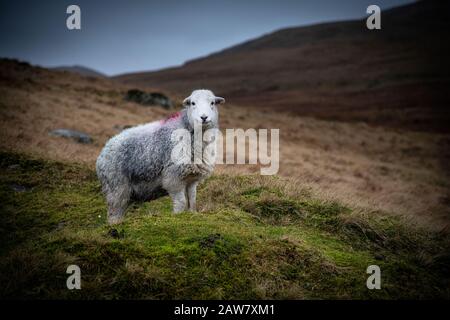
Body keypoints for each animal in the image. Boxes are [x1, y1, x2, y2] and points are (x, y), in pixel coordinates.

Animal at [95, 89, 225, 225]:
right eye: (193, 103)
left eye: (212, 103)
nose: (204, 117)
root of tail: (103, 152)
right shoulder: (173, 177)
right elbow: (181, 202)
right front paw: (178, 216)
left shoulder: (191, 179)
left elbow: (192, 200)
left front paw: (192, 214)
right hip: (116, 186)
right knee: (114, 211)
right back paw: (115, 224)